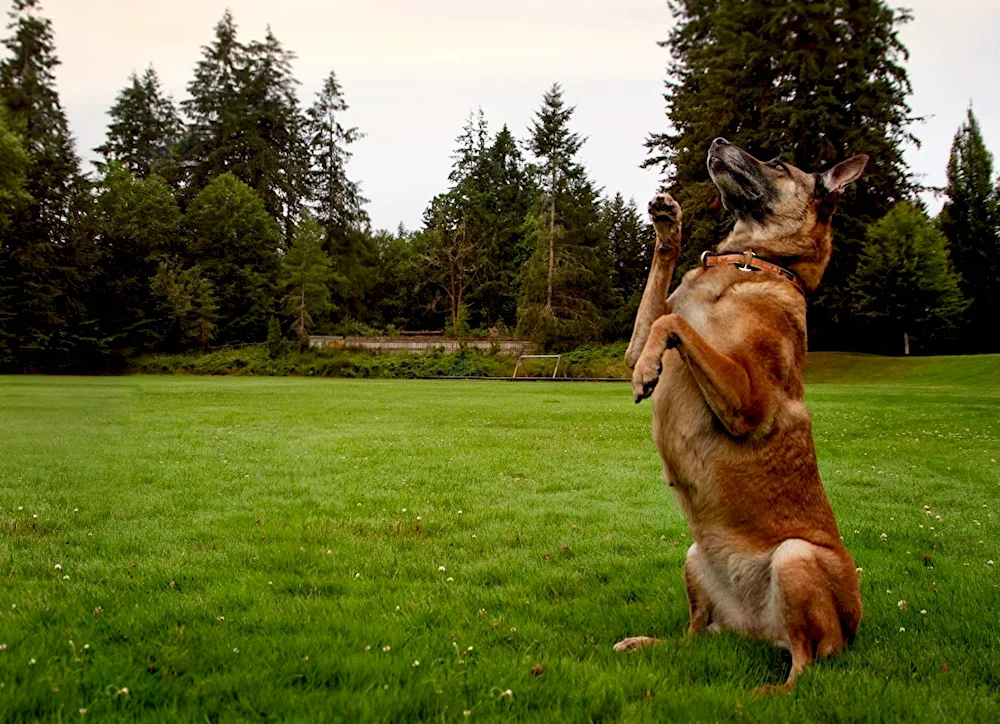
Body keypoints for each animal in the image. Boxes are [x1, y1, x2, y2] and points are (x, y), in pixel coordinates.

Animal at [608, 137, 868, 692]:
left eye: (777, 164)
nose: (718, 142)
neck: (752, 263)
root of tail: (757, 634)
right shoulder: (642, 337)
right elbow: (656, 313)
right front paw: (668, 227)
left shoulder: (749, 402)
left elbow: (671, 321)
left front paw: (648, 373)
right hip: (693, 559)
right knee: (693, 636)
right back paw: (647, 644)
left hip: (795, 558)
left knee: (808, 662)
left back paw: (770, 691)